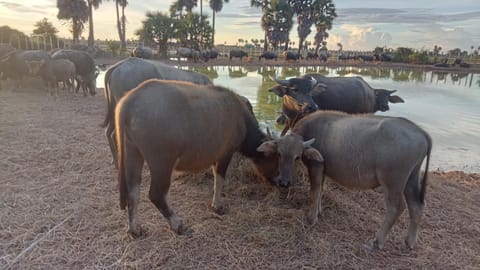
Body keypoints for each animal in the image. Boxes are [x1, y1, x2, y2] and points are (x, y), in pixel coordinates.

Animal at [116, 79, 280, 235]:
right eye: (276, 158)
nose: (281, 182)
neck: (241, 118)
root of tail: (130, 101)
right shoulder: (226, 154)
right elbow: (220, 179)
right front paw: (217, 206)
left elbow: (215, 178)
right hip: (161, 162)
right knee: (156, 194)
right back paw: (178, 225)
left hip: (133, 152)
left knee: (133, 192)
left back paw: (135, 229)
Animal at [256, 110, 434, 250]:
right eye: (279, 154)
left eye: (297, 157)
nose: (284, 183)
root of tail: (420, 132)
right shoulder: (324, 171)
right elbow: (321, 190)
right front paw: (319, 211)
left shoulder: (316, 167)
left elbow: (314, 191)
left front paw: (311, 218)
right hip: (412, 178)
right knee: (416, 206)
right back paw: (410, 242)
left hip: (393, 182)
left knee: (396, 207)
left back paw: (377, 242)